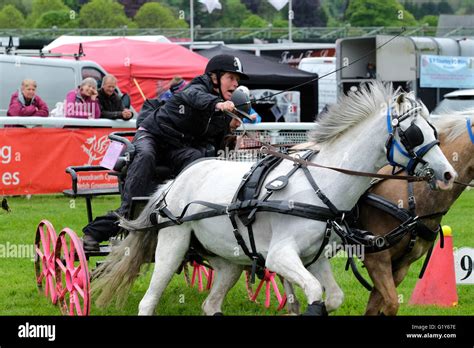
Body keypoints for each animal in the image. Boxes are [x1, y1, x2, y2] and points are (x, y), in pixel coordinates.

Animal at [90, 82, 458, 316]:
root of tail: (175, 181)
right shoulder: (280, 256)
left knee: (211, 304)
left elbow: (332, 298)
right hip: (173, 245)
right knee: (148, 301)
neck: (321, 186)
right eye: (414, 134)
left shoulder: (314, 258)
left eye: (435, 131)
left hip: (228, 260)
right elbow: (314, 296)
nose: (447, 173)